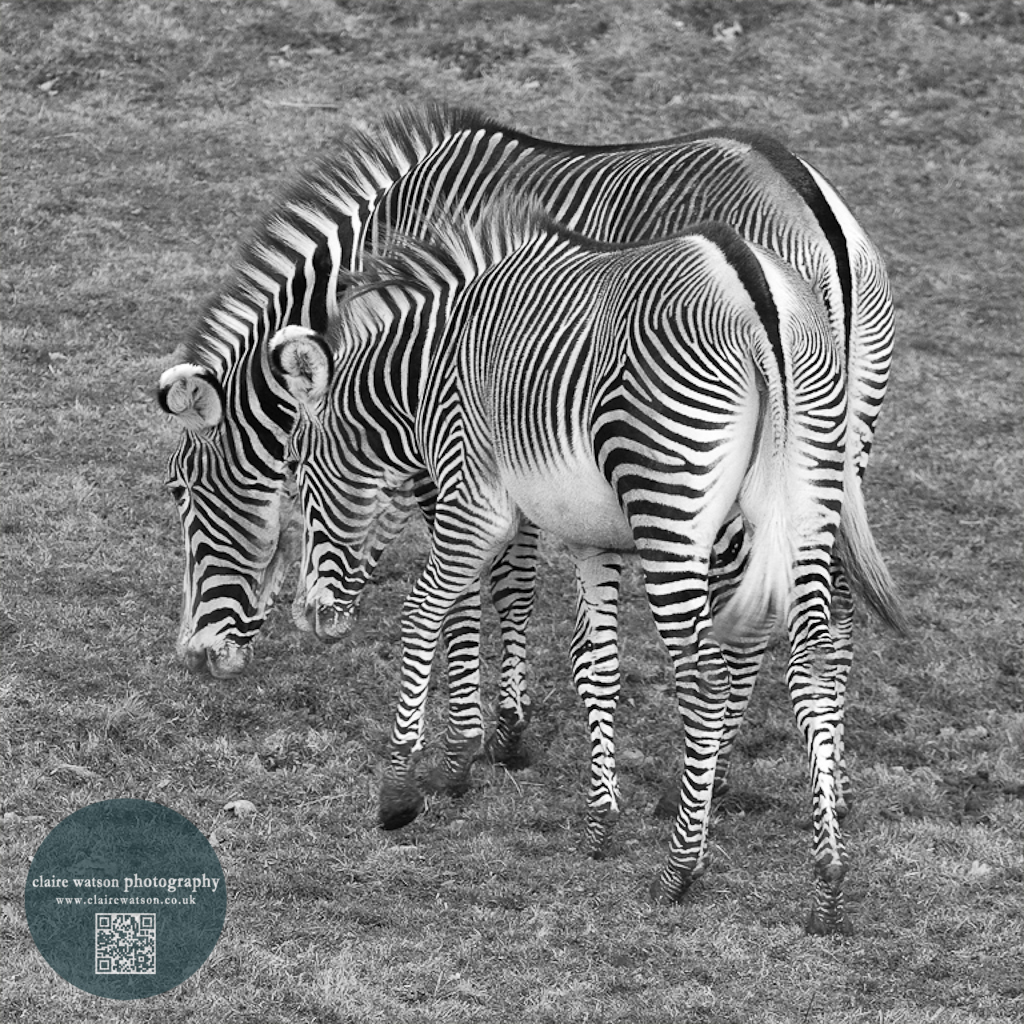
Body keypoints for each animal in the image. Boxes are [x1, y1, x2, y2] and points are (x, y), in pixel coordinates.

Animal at [157, 104, 900, 799]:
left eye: (181, 492)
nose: (194, 657)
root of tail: (815, 213)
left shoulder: (449, 431)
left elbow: (478, 585)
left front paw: (473, 742)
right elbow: (509, 579)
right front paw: (506, 726)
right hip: (830, 456)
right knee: (831, 616)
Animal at [270, 199, 899, 934]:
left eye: (297, 469)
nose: (309, 617)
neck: (425, 371)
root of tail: (759, 298)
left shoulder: (475, 495)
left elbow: (426, 610)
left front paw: (403, 790)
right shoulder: (592, 540)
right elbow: (594, 666)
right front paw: (600, 823)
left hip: (671, 509)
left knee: (707, 678)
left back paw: (681, 868)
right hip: (803, 507)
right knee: (817, 666)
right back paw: (826, 881)